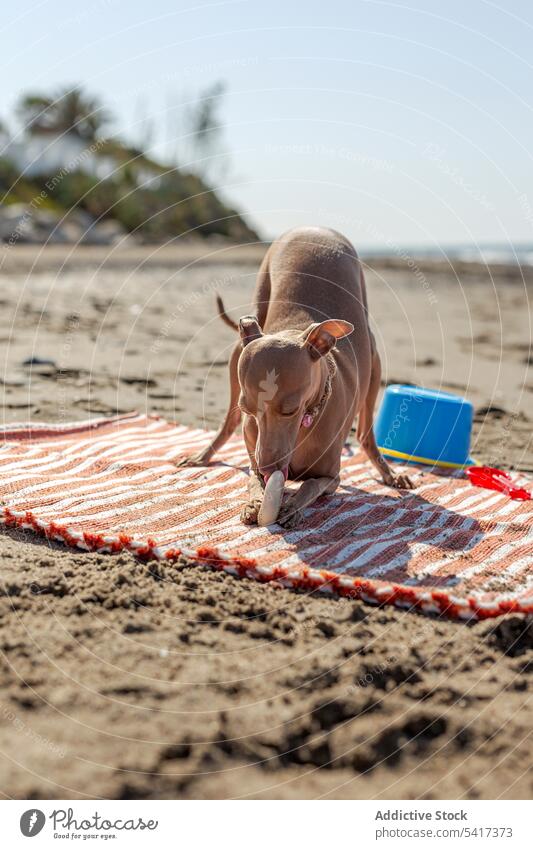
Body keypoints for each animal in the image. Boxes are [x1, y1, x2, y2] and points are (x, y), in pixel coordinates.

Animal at [179, 229, 412, 528]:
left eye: (290, 410)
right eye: (248, 410)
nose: (268, 468)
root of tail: (314, 228)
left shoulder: (332, 478)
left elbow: (311, 485)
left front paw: (291, 507)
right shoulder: (254, 454)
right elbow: (253, 480)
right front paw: (255, 502)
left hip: (374, 361)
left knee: (365, 434)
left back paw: (389, 472)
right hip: (241, 341)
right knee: (228, 423)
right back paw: (203, 455)